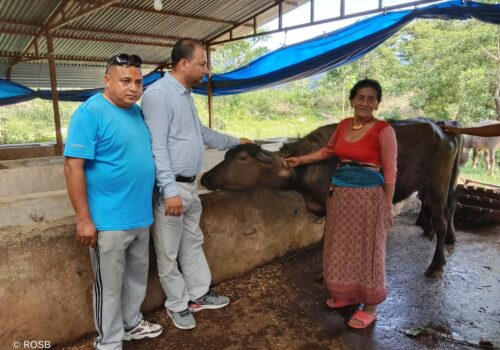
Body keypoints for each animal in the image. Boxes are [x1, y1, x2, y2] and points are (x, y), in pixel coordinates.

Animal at [201, 119, 462, 278]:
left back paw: (436, 264)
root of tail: (443, 129)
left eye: (242, 158)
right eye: (227, 155)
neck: (308, 167)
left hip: (437, 188)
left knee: (442, 218)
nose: (205, 177)